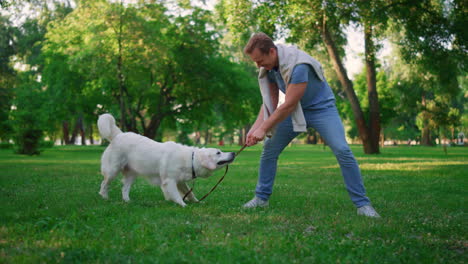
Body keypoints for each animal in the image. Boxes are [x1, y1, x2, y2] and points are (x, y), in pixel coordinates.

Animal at [96, 113, 234, 206]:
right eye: (218, 152)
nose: (233, 153)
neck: (191, 159)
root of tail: (118, 135)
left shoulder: (180, 182)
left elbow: (189, 193)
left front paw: (196, 202)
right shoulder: (170, 181)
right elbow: (177, 196)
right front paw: (183, 205)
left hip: (131, 174)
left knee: (124, 188)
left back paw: (127, 201)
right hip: (113, 170)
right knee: (104, 184)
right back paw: (105, 197)